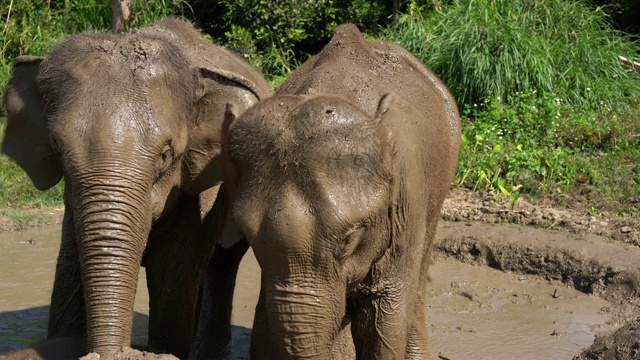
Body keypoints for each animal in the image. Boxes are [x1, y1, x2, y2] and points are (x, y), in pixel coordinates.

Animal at [0, 17, 270, 358]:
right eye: (57, 149)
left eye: (166, 155)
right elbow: (69, 277)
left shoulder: (202, 188)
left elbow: (172, 277)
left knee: (222, 264)